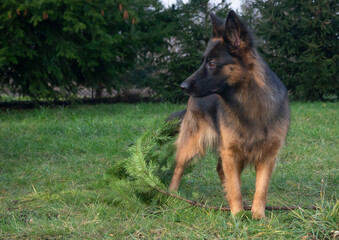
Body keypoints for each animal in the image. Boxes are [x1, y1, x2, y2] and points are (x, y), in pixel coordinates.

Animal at [169, 10, 290, 218]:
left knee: (220, 169)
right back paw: (172, 194)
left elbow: (261, 189)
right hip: (192, 144)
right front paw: (237, 215)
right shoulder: (231, 152)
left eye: (211, 63)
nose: (183, 86)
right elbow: (235, 186)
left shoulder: (267, 155)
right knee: (178, 167)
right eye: (203, 61)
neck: (249, 102)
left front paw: (258, 215)